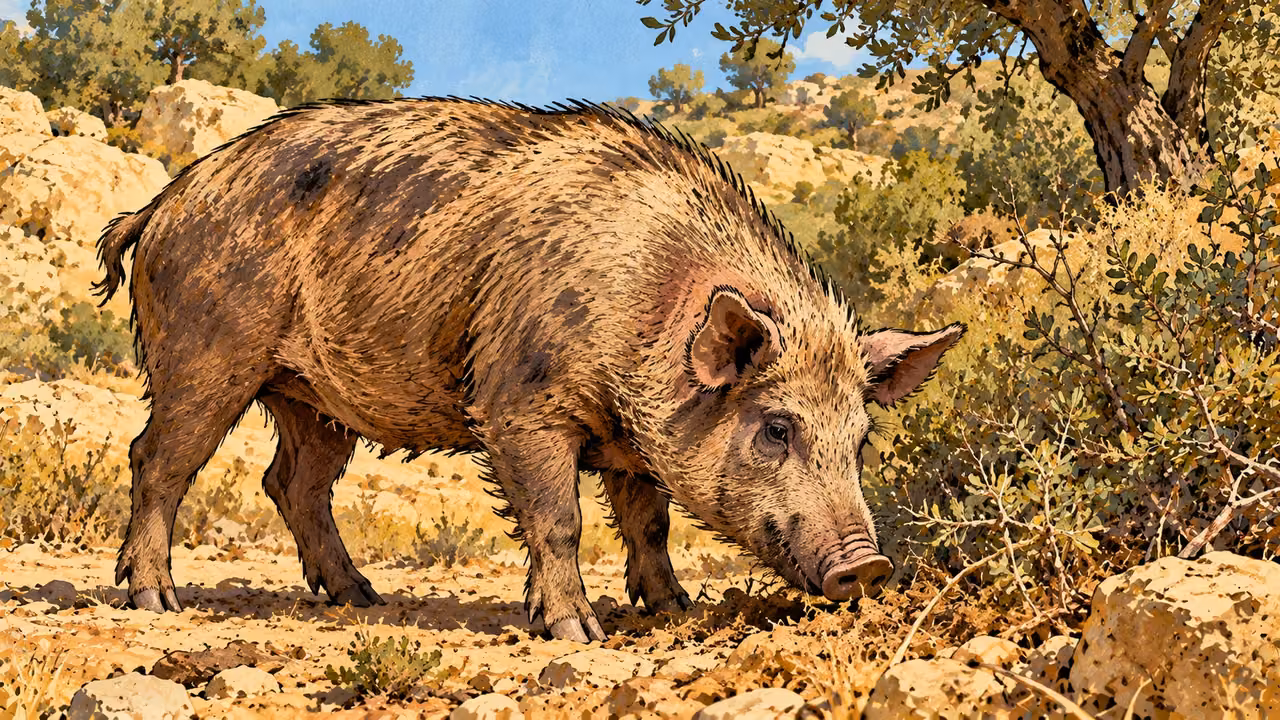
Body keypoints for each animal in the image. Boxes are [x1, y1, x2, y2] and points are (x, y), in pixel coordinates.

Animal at [95, 98, 963, 642]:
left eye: (860, 441)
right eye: (777, 427)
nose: (868, 565)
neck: (644, 303)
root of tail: (164, 201)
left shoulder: (631, 440)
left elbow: (648, 522)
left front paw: (674, 610)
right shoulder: (517, 401)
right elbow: (559, 518)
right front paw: (578, 632)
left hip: (313, 397)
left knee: (291, 482)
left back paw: (360, 597)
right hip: (204, 352)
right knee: (157, 459)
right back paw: (156, 600)